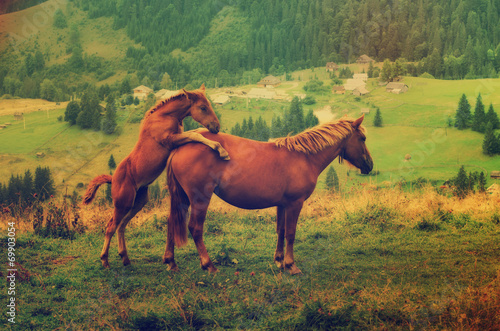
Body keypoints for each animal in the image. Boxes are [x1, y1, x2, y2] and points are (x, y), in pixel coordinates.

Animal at [83, 84, 229, 268]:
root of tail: (113, 179)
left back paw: (125, 258)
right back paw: (105, 260)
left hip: (137, 202)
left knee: (121, 226)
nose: (216, 127)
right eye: (203, 107)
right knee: (110, 226)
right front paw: (221, 150)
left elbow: (194, 133)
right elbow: (195, 134)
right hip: (122, 204)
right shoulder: (170, 140)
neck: (165, 116)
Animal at [163, 116, 372, 274]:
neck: (304, 157)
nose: (370, 165)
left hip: (182, 198)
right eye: (362, 138)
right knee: (195, 228)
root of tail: (181, 146)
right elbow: (291, 233)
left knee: (172, 222)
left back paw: (171, 262)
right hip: (200, 199)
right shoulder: (295, 204)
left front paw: (279, 260)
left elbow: (281, 230)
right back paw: (208, 265)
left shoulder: (283, 204)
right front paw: (291, 265)